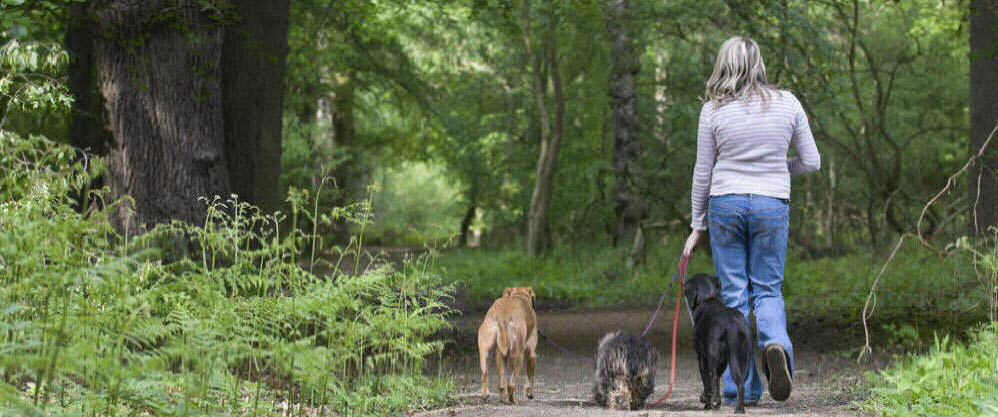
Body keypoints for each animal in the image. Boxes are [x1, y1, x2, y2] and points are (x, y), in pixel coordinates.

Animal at [684, 272, 752, 412]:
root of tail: (732, 325)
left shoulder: (702, 356)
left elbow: (707, 383)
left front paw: (707, 404)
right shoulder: (723, 361)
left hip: (713, 355)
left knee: (714, 377)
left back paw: (715, 404)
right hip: (745, 358)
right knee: (741, 383)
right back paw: (739, 409)